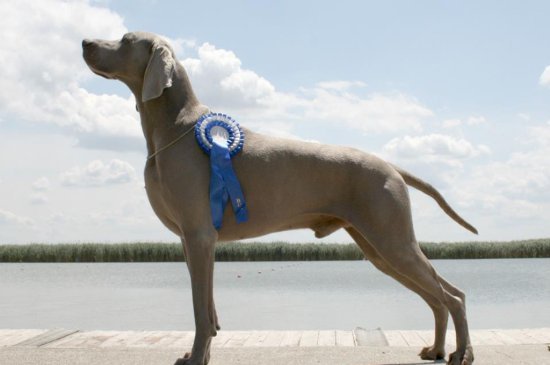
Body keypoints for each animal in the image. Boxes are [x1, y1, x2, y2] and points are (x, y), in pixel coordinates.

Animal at [82, 32, 478, 364]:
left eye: (125, 39)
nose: (85, 42)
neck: (175, 128)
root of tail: (391, 166)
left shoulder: (198, 235)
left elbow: (199, 310)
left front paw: (195, 359)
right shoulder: (193, 241)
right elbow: (208, 308)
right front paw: (201, 354)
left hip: (391, 238)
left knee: (453, 296)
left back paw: (461, 354)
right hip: (378, 248)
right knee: (438, 298)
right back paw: (437, 350)